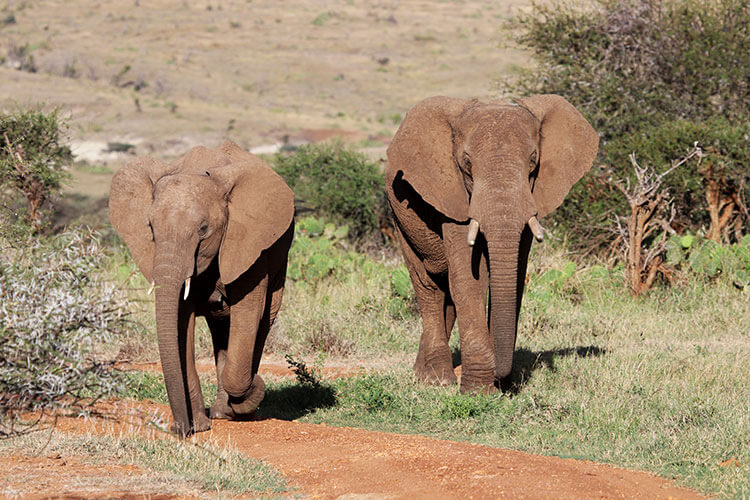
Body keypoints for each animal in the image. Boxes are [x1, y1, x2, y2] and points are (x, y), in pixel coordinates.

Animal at [110, 140, 296, 434]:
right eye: (151, 228)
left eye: (203, 229)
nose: (179, 429)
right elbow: (181, 320)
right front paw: (199, 425)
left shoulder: (248, 245)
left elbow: (248, 313)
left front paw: (250, 394)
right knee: (221, 329)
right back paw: (221, 412)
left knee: (263, 322)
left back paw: (236, 409)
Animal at [388, 94, 600, 394]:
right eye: (466, 164)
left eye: (533, 161)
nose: (502, 377)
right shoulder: (453, 195)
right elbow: (469, 279)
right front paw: (478, 392)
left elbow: (515, 275)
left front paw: (502, 386)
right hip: (399, 215)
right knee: (428, 285)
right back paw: (436, 379)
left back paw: (423, 372)